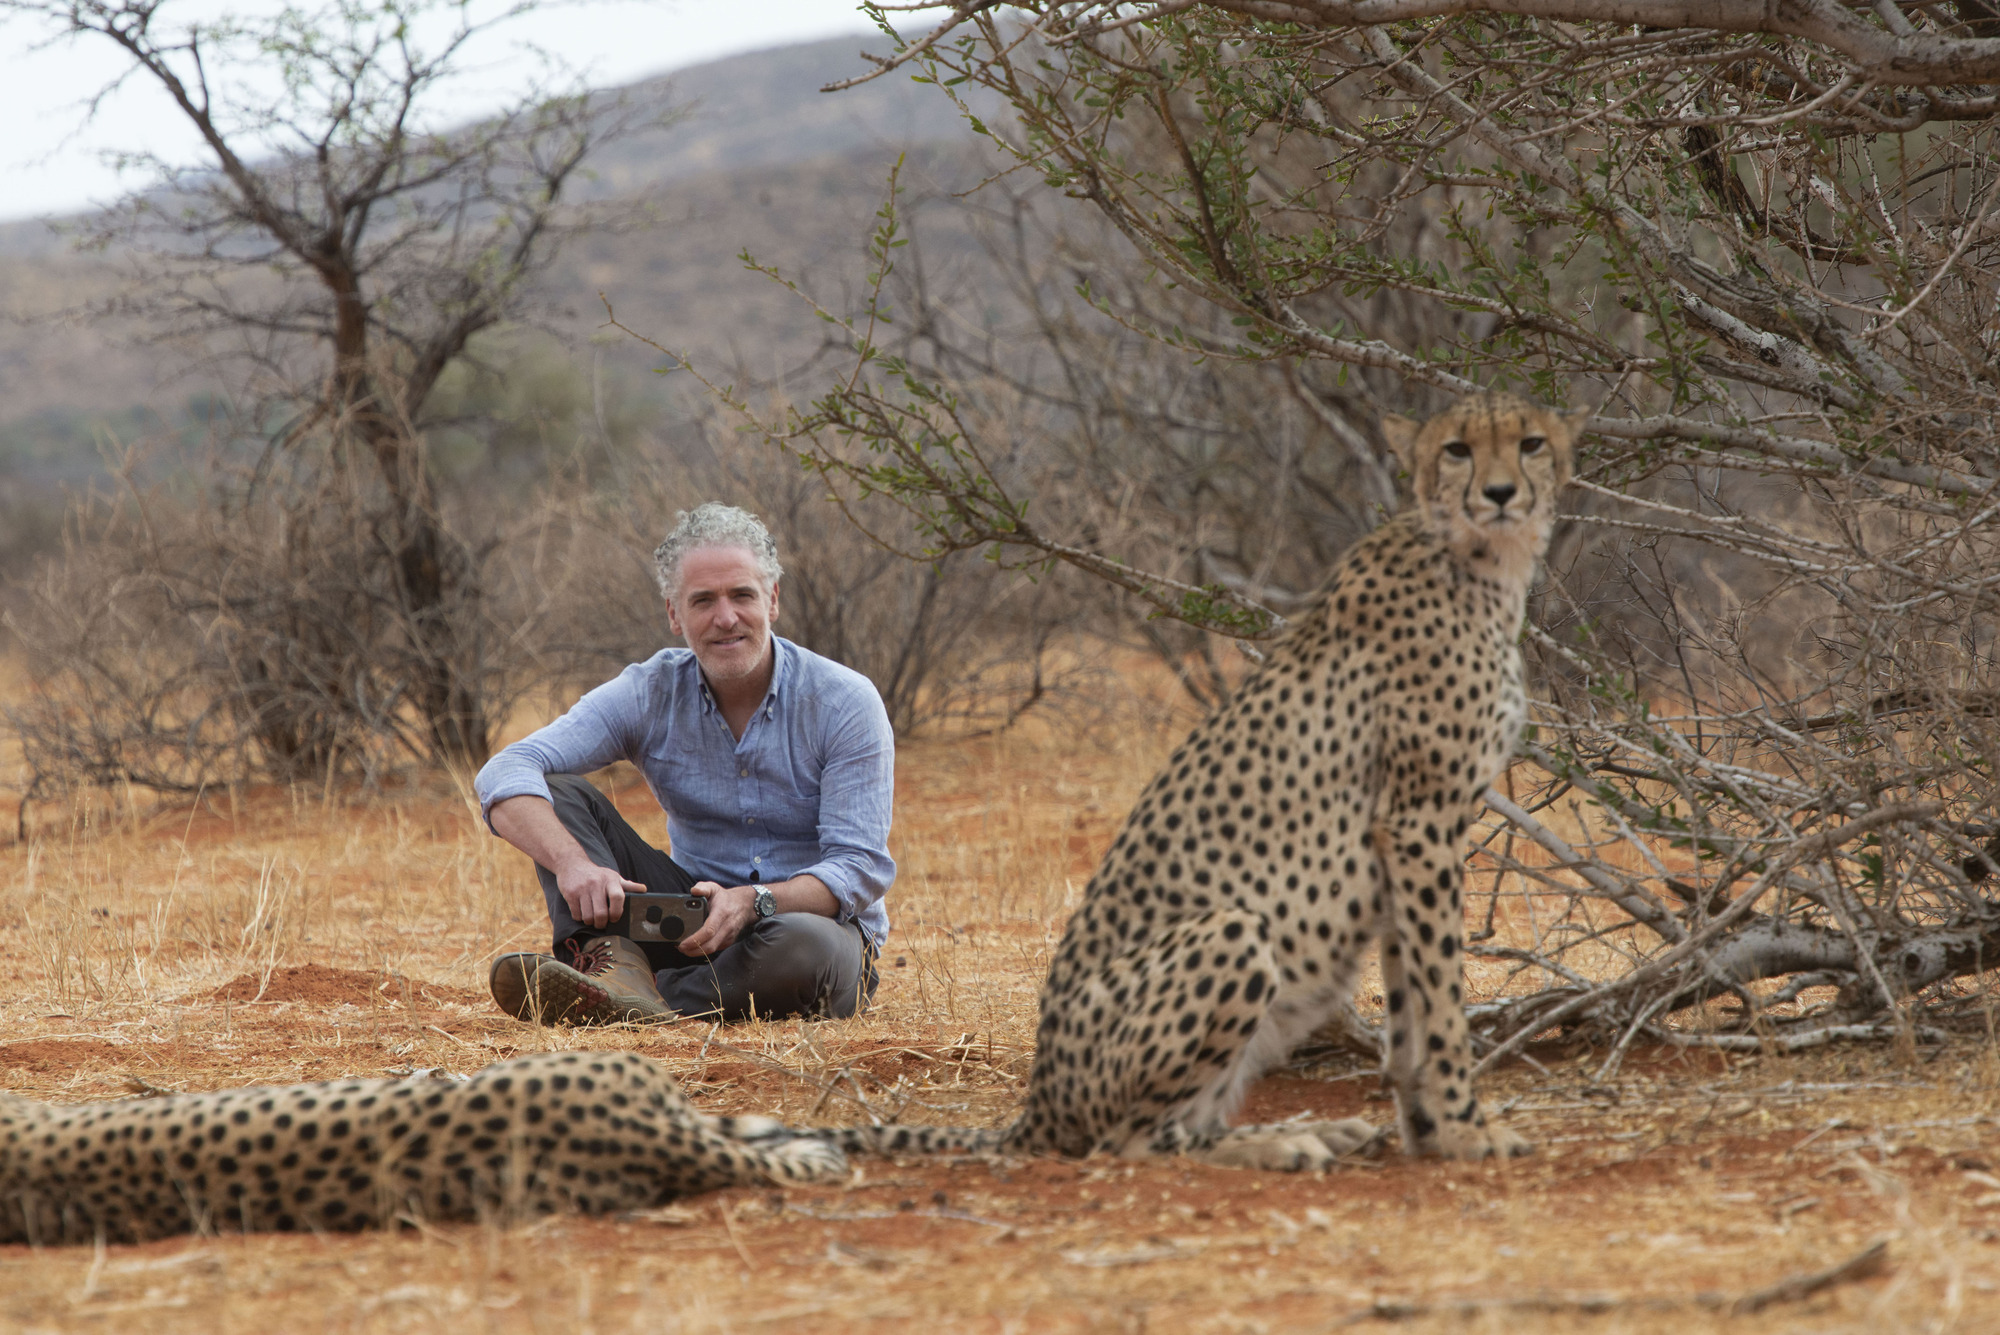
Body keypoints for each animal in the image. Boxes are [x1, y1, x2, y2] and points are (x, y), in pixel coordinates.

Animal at [816, 391, 1585, 1171]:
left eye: (1530, 443)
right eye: (1457, 449)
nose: (1500, 493)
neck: (1479, 563)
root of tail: (1039, 1105)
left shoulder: (1408, 834)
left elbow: (1411, 1004)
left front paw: (1428, 1129)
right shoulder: (1419, 820)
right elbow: (1442, 999)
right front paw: (1465, 1129)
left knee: (1186, 1123)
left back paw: (1305, 1133)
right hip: (1235, 931)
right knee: (1132, 1142)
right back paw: (1285, 1143)